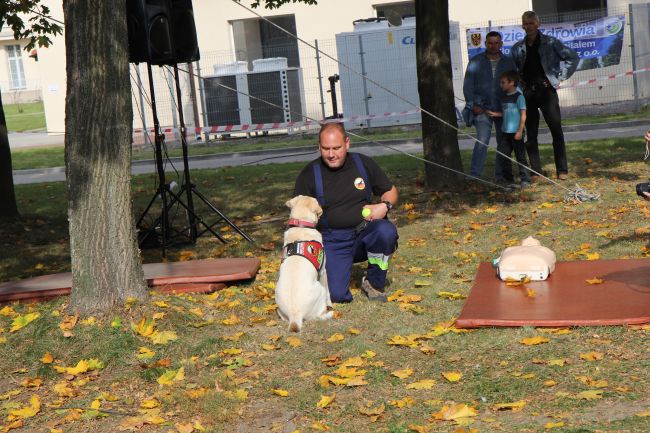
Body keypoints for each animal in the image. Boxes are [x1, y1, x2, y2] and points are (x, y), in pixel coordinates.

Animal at [274, 194, 332, 332]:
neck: (301, 225)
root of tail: (295, 316)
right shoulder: (323, 272)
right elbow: (329, 292)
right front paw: (331, 304)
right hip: (320, 289)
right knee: (318, 315)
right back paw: (327, 313)